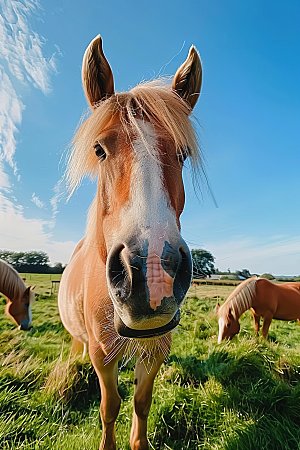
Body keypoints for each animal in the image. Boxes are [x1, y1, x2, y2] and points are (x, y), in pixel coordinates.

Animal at [58, 36, 203, 450]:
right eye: (99, 150)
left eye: (182, 153)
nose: (152, 274)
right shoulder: (102, 354)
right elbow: (110, 407)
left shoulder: (156, 348)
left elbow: (141, 401)